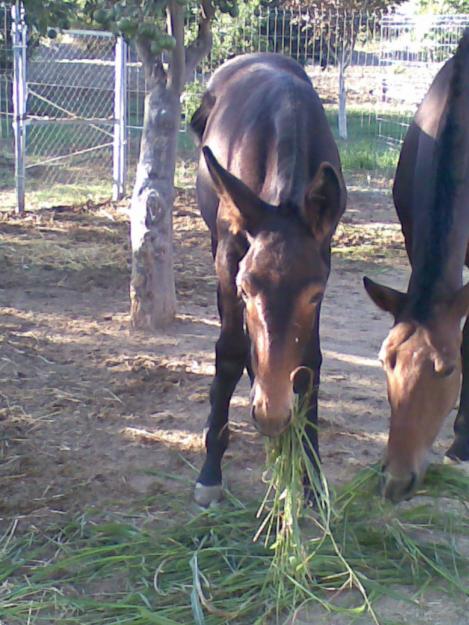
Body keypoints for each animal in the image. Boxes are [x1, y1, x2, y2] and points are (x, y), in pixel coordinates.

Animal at [188, 51, 346, 504]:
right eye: (245, 287)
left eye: (315, 294)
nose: (273, 413)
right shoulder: (229, 258)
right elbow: (228, 353)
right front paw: (210, 470)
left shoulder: (324, 254)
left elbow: (310, 360)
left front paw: (310, 474)